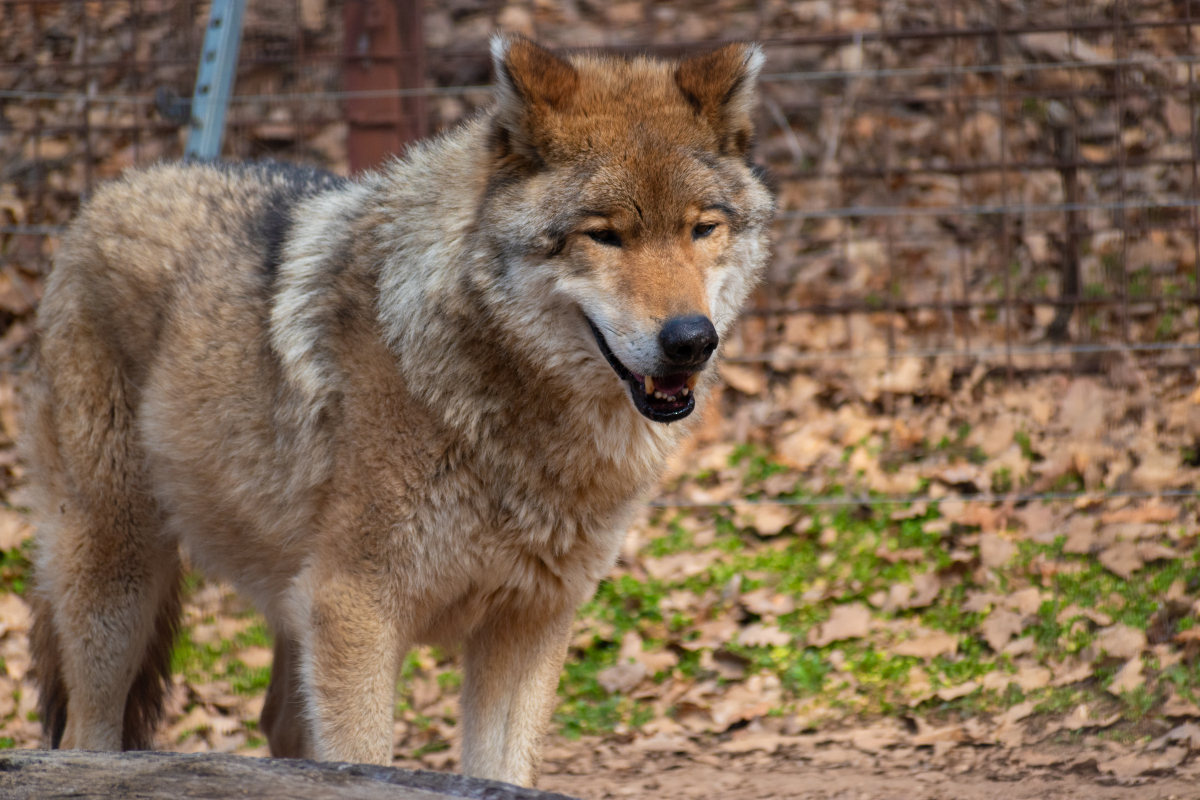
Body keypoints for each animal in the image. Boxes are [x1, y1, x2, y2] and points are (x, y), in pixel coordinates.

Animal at [30, 35, 777, 782]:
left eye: (701, 229)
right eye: (605, 236)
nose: (691, 340)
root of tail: (107, 194)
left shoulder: (529, 620)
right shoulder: (355, 608)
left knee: (277, 723)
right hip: (118, 577)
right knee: (85, 737)